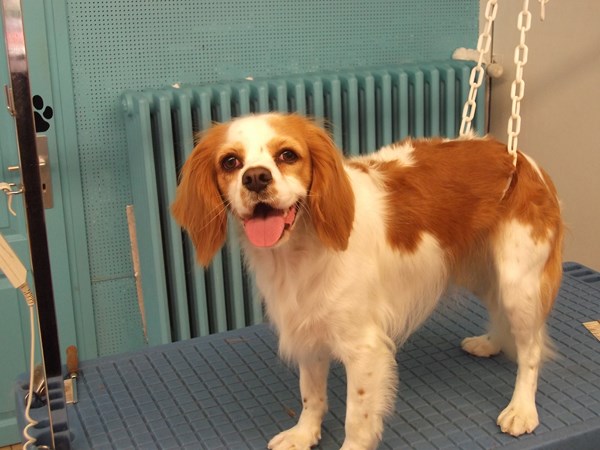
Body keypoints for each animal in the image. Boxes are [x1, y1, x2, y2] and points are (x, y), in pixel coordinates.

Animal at [171, 113, 563, 449]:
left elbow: (356, 418)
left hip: (518, 284)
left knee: (531, 350)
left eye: (287, 155)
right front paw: (304, 434)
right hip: (485, 273)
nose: (255, 177)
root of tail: (518, 156)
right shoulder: (309, 330)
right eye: (230, 162)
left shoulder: (364, 348)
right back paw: (491, 343)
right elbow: (311, 394)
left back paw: (521, 409)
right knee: (502, 317)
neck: (300, 250)